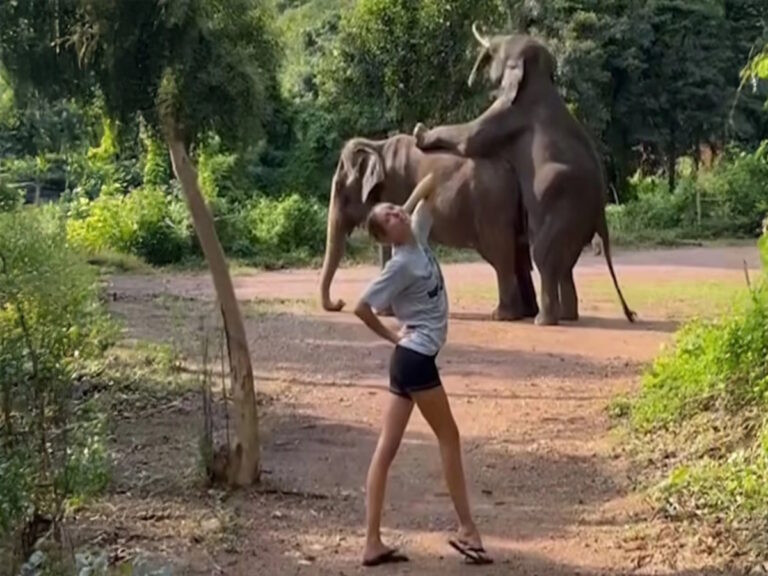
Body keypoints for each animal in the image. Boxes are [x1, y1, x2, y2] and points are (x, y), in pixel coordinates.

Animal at [319, 134, 539, 321]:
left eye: (339, 187)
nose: (340, 303)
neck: (376, 145)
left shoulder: (395, 189)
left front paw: (384, 313)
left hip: (493, 209)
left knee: (501, 255)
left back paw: (502, 315)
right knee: (518, 255)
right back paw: (527, 313)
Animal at [414, 24, 636, 326]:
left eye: (500, 48)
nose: (473, 78)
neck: (540, 79)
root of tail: (600, 212)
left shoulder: (510, 113)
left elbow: (470, 139)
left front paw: (419, 133)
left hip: (565, 209)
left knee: (543, 255)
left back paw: (544, 320)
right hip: (578, 222)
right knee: (565, 264)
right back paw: (566, 316)